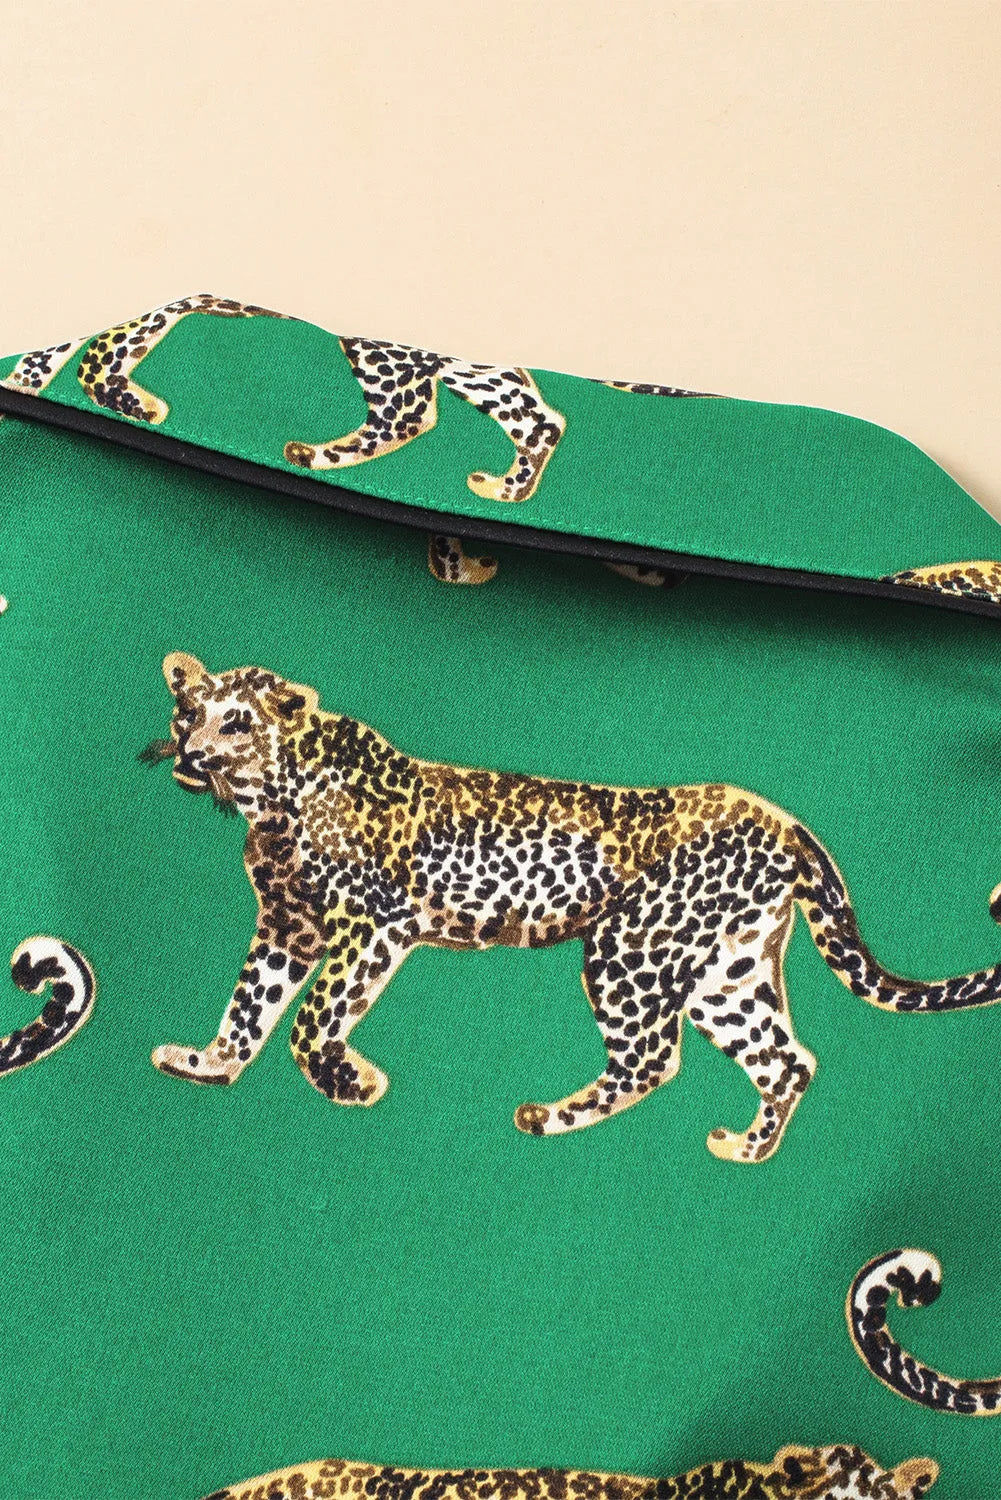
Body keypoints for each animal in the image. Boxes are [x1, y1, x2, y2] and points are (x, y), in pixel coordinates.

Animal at [142, 653, 1001, 1164]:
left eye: (237, 721)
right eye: (189, 713)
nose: (188, 754)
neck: (269, 805)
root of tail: (782, 822)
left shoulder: (375, 923)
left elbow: (312, 1017)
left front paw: (348, 1082)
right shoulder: (288, 924)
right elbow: (250, 1002)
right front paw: (209, 1065)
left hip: (630, 951)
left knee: (652, 1057)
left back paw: (550, 1118)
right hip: (725, 973)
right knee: (785, 1059)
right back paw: (746, 1150)